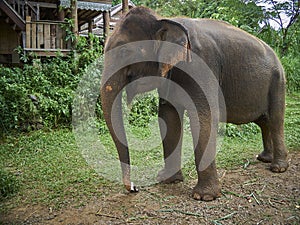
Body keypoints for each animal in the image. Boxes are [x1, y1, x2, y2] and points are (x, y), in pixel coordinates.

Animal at [101, 7, 288, 201]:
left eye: (125, 52)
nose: (134, 188)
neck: (164, 19)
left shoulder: (202, 65)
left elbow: (204, 116)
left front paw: (204, 197)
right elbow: (168, 117)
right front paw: (168, 180)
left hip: (278, 81)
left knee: (275, 119)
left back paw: (278, 168)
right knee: (264, 121)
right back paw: (264, 158)